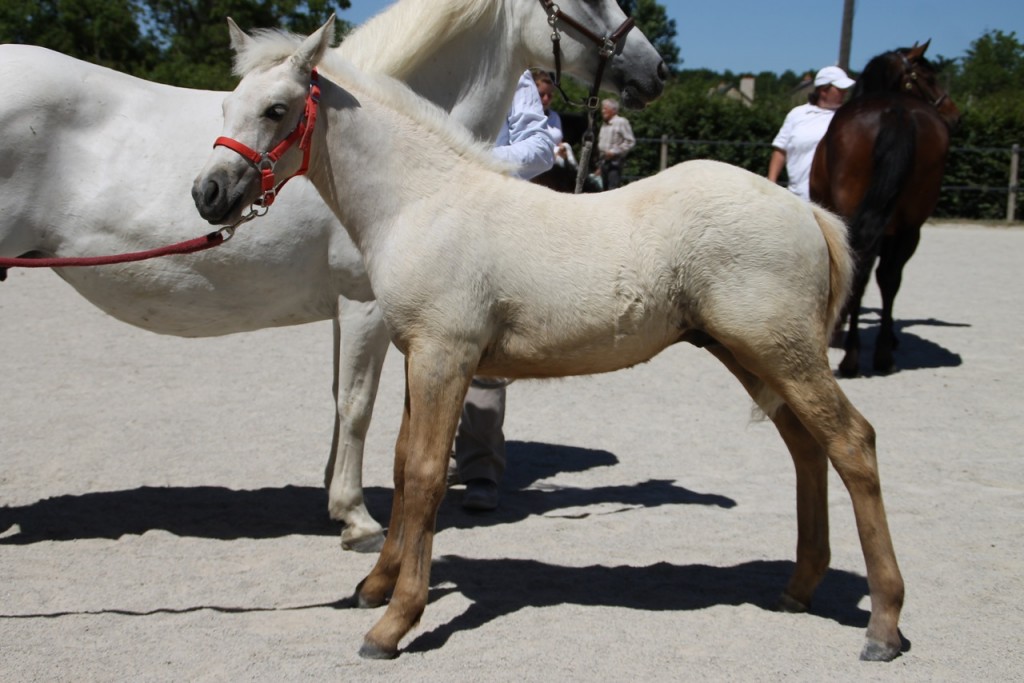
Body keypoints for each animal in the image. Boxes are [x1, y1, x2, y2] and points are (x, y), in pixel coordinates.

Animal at [0, 0, 663, 548]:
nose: (655, 71)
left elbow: (341, 401)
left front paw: (333, 497)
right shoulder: (364, 304)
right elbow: (358, 403)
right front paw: (356, 516)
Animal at [192, 20, 905, 663]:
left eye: (277, 109)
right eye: (225, 106)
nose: (208, 193)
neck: (422, 200)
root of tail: (806, 210)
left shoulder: (445, 357)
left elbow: (423, 477)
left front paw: (394, 623)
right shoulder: (419, 355)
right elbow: (399, 467)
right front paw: (375, 585)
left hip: (781, 350)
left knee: (853, 443)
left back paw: (884, 625)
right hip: (752, 354)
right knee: (808, 450)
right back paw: (799, 589)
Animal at [806, 41, 958, 378]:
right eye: (929, 77)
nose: (953, 113)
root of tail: (895, 111)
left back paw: (860, 354)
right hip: (909, 225)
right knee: (885, 276)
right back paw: (873, 354)